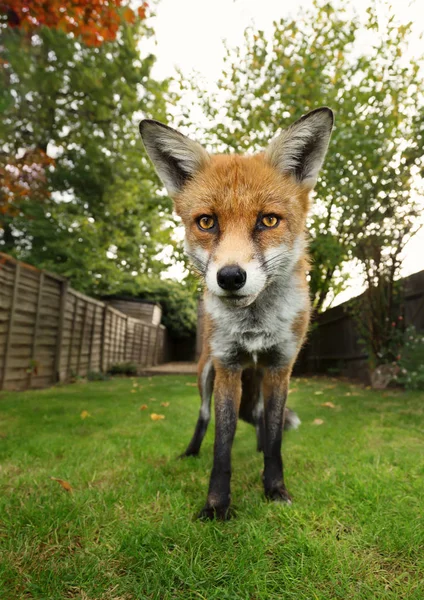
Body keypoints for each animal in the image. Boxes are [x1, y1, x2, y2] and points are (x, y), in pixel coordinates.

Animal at [141, 109, 332, 520]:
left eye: (268, 221)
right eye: (206, 222)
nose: (229, 277)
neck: (255, 326)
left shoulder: (280, 367)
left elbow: (275, 438)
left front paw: (274, 488)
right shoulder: (227, 367)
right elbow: (222, 444)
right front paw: (216, 505)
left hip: (257, 380)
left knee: (260, 419)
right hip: (205, 374)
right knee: (203, 418)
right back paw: (190, 451)